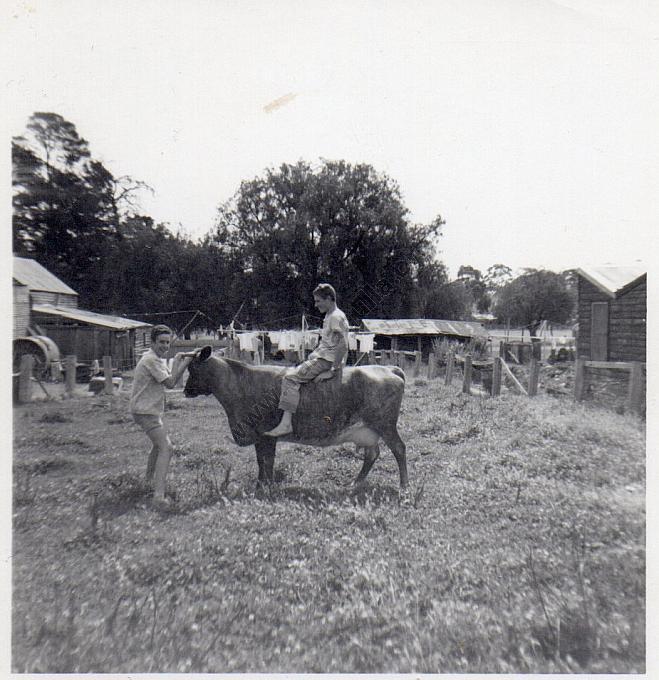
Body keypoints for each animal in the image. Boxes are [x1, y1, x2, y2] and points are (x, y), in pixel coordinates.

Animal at [184, 348, 408, 492]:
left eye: (193, 369)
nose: (186, 391)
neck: (241, 384)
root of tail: (389, 368)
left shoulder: (266, 436)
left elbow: (266, 461)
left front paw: (264, 488)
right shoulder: (260, 438)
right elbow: (261, 461)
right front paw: (261, 485)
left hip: (385, 425)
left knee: (399, 448)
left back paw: (404, 486)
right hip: (368, 431)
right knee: (372, 454)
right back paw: (355, 483)